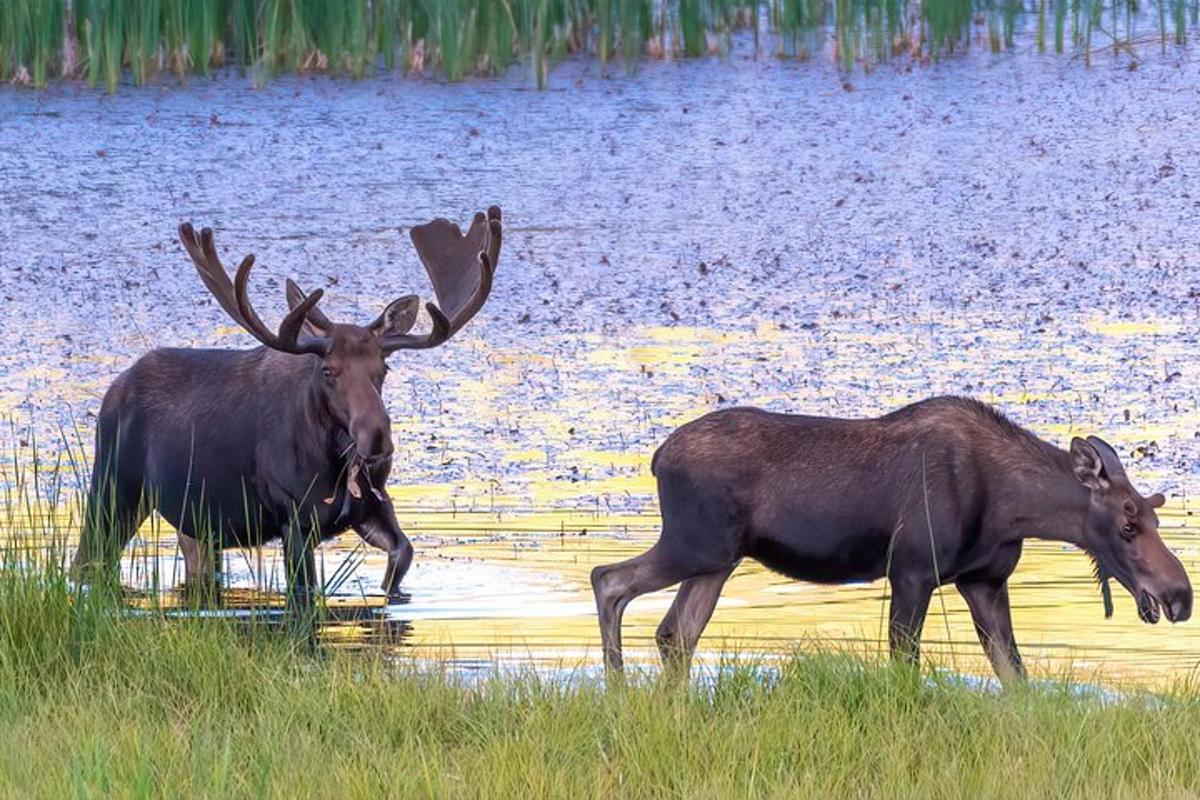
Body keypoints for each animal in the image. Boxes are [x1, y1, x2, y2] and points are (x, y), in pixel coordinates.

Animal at [71, 206, 501, 614]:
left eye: (383, 369)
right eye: (328, 370)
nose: (377, 436)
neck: (336, 465)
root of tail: (115, 388)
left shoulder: (375, 506)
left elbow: (403, 556)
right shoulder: (293, 514)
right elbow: (303, 588)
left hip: (196, 522)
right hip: (114, 486)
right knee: (86, 561)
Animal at [590, 395, 1190, 681]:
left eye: (1156, 519)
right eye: (1128, 524)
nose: (1180, 596)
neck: (1014, 509)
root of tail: (657, 458)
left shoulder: (983, 581)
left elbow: (1015, 674)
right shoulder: (912, 570)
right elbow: (906, 663)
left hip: (717, 561)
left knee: (675, 633)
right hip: (695, 545)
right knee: (608, 579)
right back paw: (618, 692)